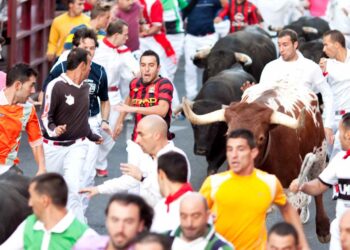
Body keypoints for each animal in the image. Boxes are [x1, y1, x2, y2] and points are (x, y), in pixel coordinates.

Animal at [183, 83, 330, 243]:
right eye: (228, 135)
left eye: (260, 138)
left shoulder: (292, 196)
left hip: (320, 156)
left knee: (318, 190)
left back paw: (323, 229)